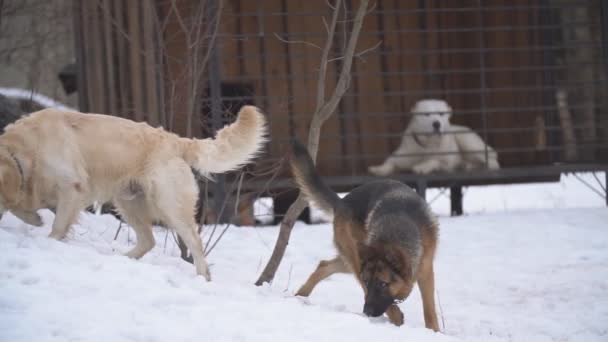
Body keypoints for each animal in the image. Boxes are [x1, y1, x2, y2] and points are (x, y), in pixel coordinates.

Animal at [0, 107, 266, 280]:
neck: (27, 149)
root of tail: (175, 140)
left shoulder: (72, 188)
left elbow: (57, 228)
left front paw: (49, 239)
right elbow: (18, 206)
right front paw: (34, 218)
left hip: (169, 204)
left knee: (194, 242)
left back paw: (203, 277)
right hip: (127, 202)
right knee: (148, 240)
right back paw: (123, 259)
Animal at [368, 97, 502, 175]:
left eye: (441, 113)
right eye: (427, 114)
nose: (436, 124)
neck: (428, 144)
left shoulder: (447, 163)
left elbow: (435, 160)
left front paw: (422, 167)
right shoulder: (402, 156)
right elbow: (390, 162)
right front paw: (378, 169)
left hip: (467, 141)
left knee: (491, 157)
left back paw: (488, 165)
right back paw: (468, 166)